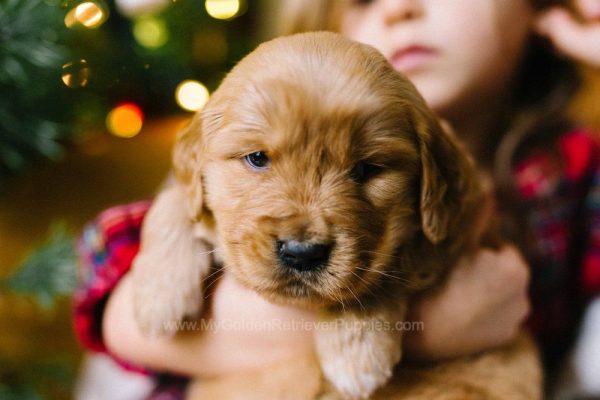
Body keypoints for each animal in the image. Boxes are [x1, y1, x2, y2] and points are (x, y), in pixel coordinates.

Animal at [130, 32, 540, 400]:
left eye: (366, 169)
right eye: (257, 158)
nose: (301, 253)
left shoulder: (461, 224)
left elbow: (385, 265)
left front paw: (355, 355)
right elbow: (171, 201)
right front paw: (157, 294)